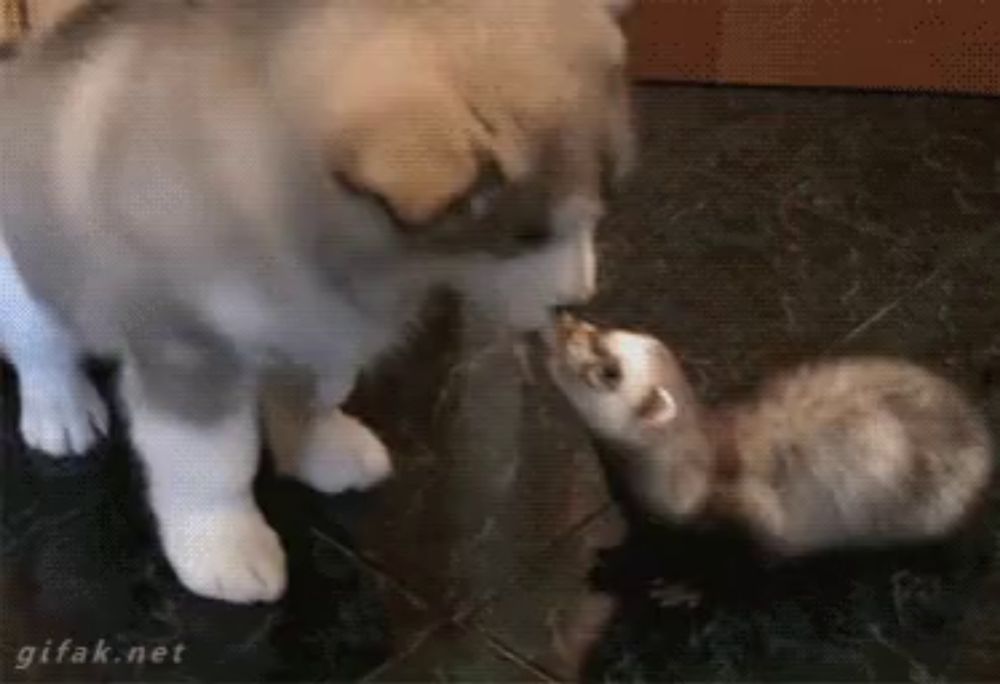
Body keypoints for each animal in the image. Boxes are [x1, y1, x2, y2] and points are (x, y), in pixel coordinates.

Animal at [0, 0, 632, 600]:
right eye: (528, 236)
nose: (577, 298)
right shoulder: (189, 348)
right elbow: (213, 460)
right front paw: (225, 546)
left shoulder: (325, 325)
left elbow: (318, 393)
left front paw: (319, 449)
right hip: (25, 279)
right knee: (42, 350)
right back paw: (61, 412)